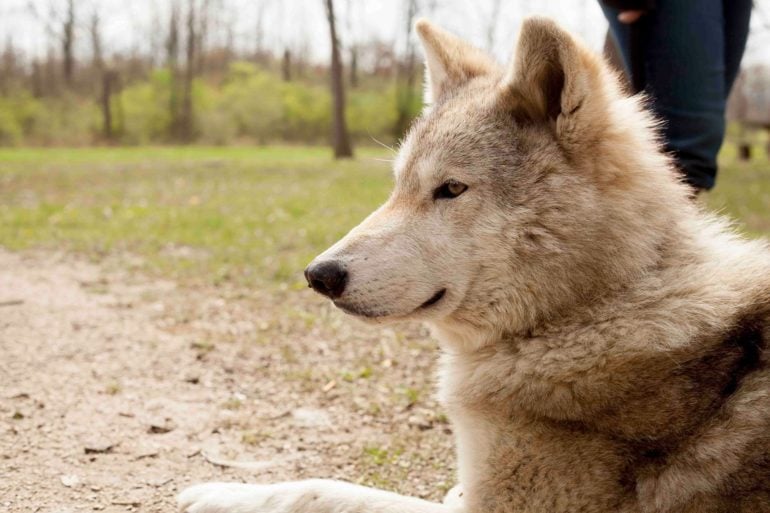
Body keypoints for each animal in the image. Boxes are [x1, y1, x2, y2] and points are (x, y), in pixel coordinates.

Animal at [179, 17, 770, 513]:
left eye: (451, 189)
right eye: (398, 187)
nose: (319, 275)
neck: (593, 310)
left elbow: (325, 489)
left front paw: (223, 494)